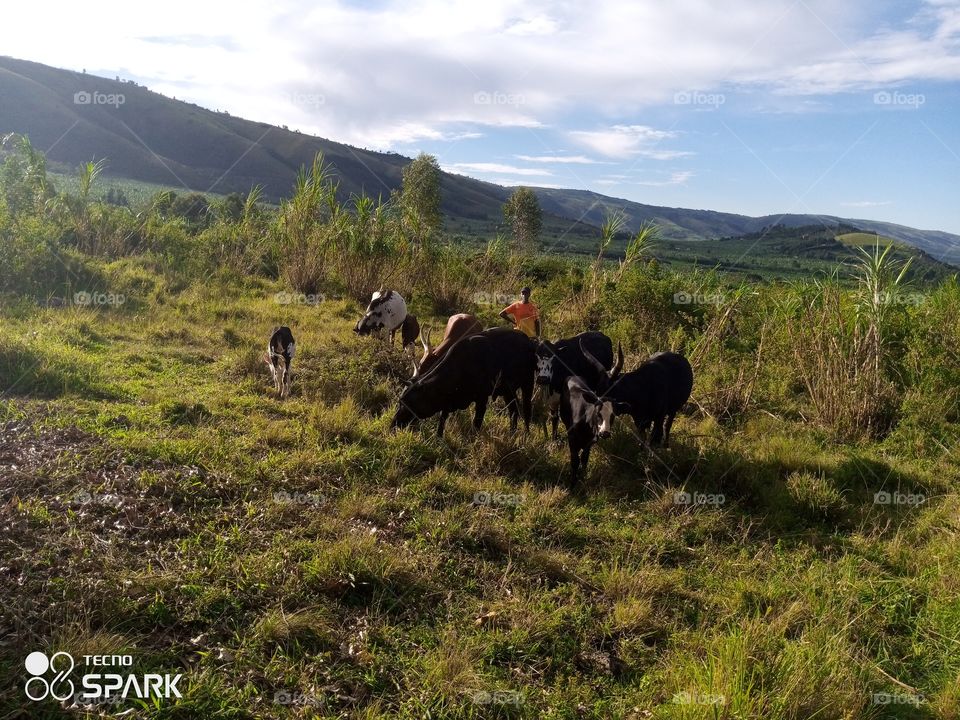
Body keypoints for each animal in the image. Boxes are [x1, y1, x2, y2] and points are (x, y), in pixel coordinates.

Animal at [391, 327, 536, 437]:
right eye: (400, 402)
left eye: (410, 403)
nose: (393, 425)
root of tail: (528, 340)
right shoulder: (448, 401)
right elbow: (442, 421)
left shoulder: (482, 398)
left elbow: (476, 423)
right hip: (508, 391)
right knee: (513, 411)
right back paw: (512, 434)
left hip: (528, 383)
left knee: (526, 410)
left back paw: (526, 434)